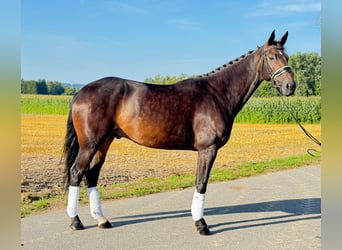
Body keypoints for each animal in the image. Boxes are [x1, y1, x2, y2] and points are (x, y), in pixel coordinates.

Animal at [65, 30, 296, 234]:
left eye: (286, 56)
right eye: (272, 57)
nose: (290, 86)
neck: (217, 94)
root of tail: (80, 92)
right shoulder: (208, 149)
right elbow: (201, 183)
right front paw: (201, 224)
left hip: (104, 143)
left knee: (92, 174)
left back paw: (101, 220)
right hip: (90, 144)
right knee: (76, 172)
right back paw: (75, 222)